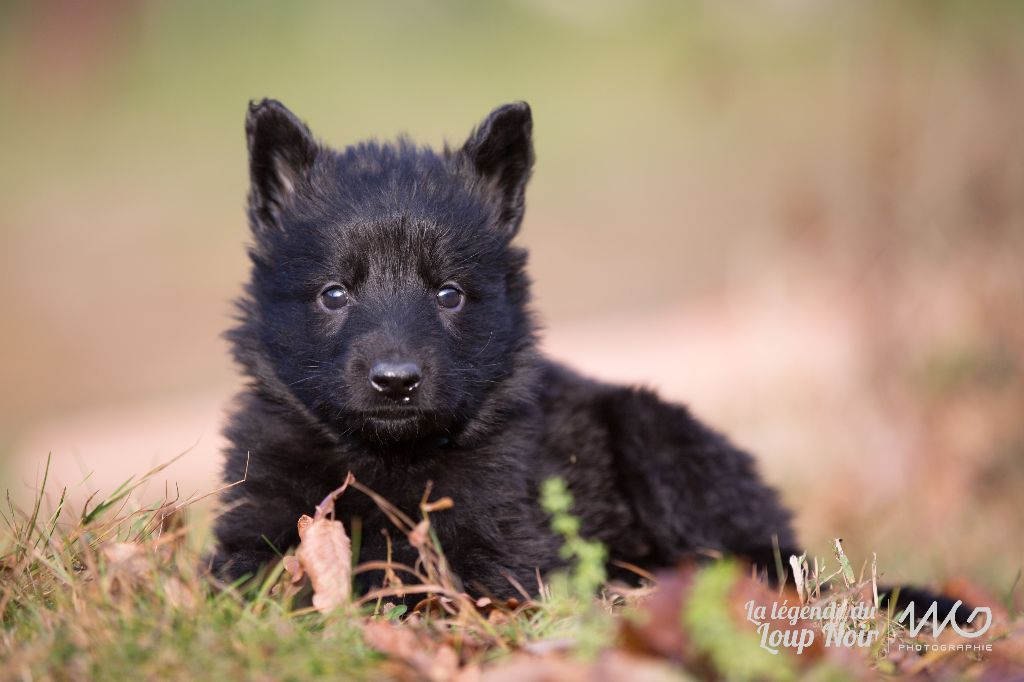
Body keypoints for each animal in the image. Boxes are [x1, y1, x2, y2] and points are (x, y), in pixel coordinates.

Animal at [211, 99, 805, 598]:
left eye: (449, 294)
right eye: (333, 294)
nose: (397, 380)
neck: (387, 455)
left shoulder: (506, 540)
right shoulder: (258, 509)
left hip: (653, 436)